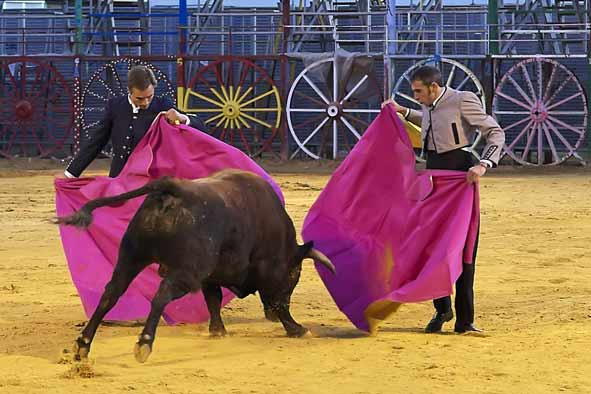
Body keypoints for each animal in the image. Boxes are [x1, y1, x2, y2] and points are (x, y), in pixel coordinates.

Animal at [57, 169, 336, 364]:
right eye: (294, 275)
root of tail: (173, 188)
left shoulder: (210, 277)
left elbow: (213, 299)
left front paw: (218, 331)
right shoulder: (265, 273)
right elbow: (278, 303)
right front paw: (297, 329)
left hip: (130, 258)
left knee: (110, 294)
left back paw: (83, 345)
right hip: (184, 273)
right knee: (160, 296)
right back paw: (144, 344)